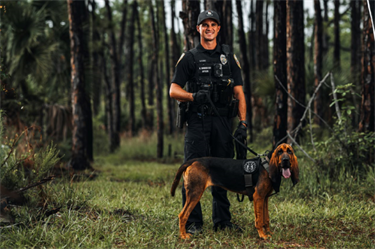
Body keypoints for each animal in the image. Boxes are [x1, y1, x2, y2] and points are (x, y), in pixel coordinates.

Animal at [171, 144, 300, 239]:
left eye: (290, 151)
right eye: (279, 152)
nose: (285, 160)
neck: (267, 165)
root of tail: (194, 160)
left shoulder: (265, 198)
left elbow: (266, 219)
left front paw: (268, 233)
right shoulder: (258, 197)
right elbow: (259, 220)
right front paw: (262, 235)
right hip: (195, 193)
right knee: (183, 215)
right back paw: (183, 236)